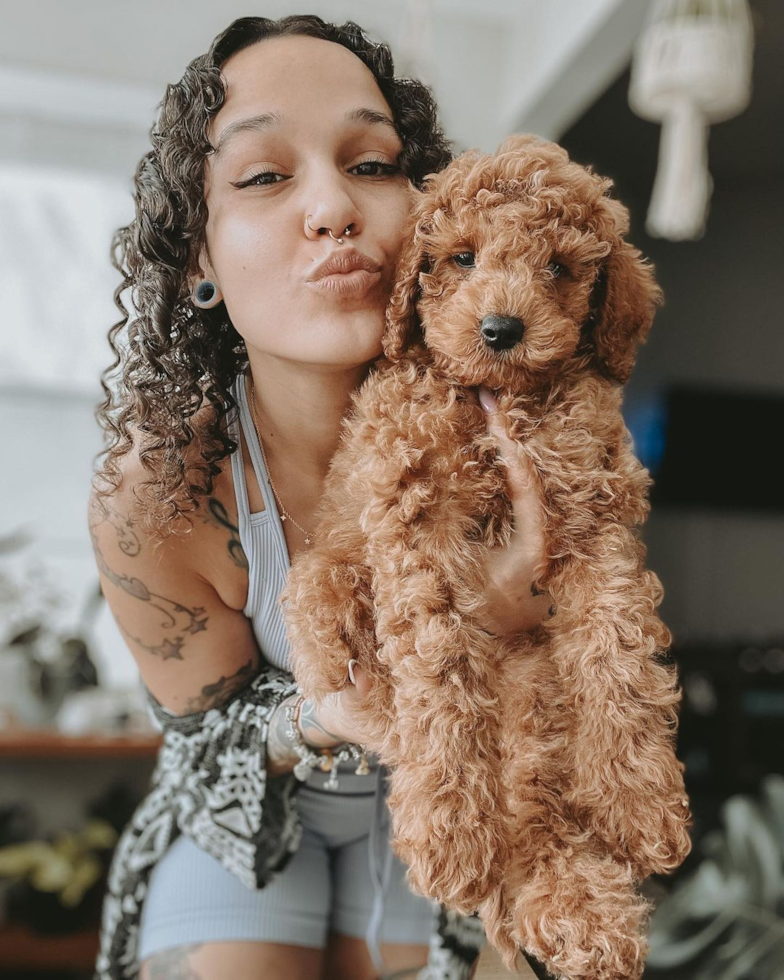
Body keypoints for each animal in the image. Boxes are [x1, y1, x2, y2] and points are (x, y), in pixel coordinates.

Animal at [282, 134, 692, 976]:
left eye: (560, 268)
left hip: (538, 709)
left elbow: (620, 658)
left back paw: (584, 915)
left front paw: (639, 802)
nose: (502, 328)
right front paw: (447, 833)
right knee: (327, 592)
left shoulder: (594, 516)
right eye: (461, 258)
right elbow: (441, 682)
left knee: (537, 815)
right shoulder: (415, 529)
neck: (499, 399)